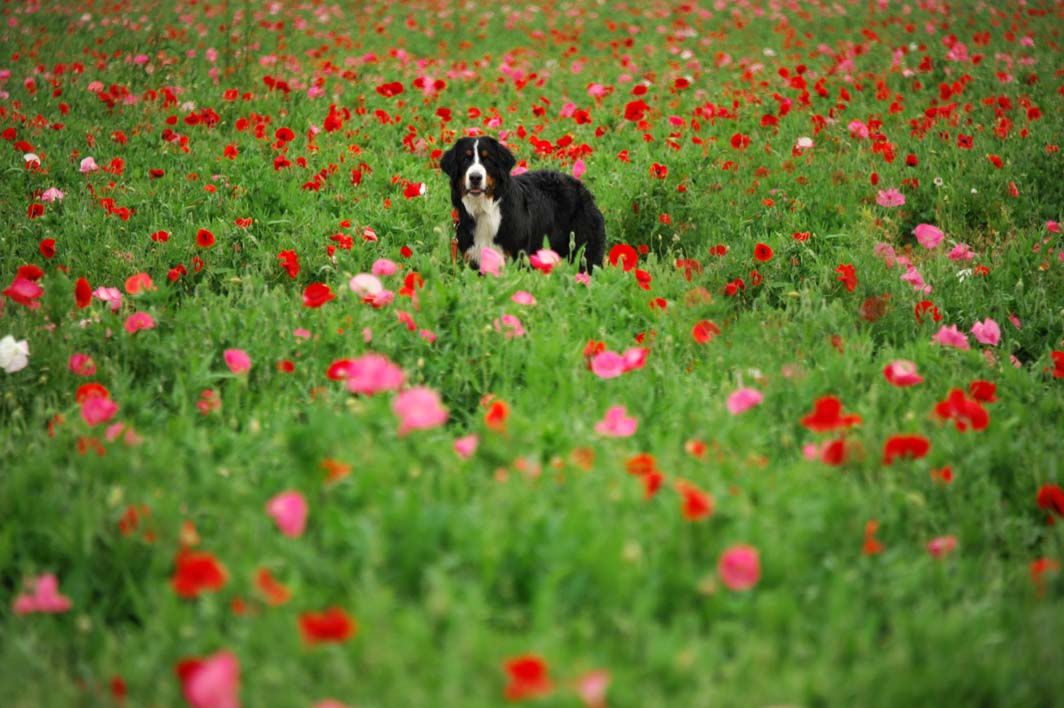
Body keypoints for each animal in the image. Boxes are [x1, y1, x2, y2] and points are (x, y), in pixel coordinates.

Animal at [438, 134, 604, 270]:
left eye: (488, 159)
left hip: (586, 252)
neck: (484, 210)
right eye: (465, 159)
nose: (475, 177)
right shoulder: (474, 259)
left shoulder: (517, 257)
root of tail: (582, 188)